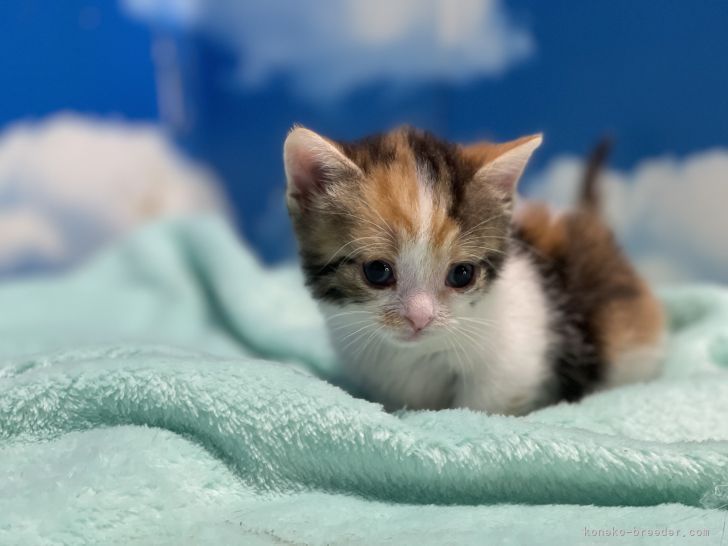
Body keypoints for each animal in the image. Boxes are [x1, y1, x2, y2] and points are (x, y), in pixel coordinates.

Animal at [282, 124, 664, 412]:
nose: (419, 318)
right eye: (377, 271)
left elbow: (483, 404)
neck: (409, 355)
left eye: (461, 274)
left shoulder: (513, 364)